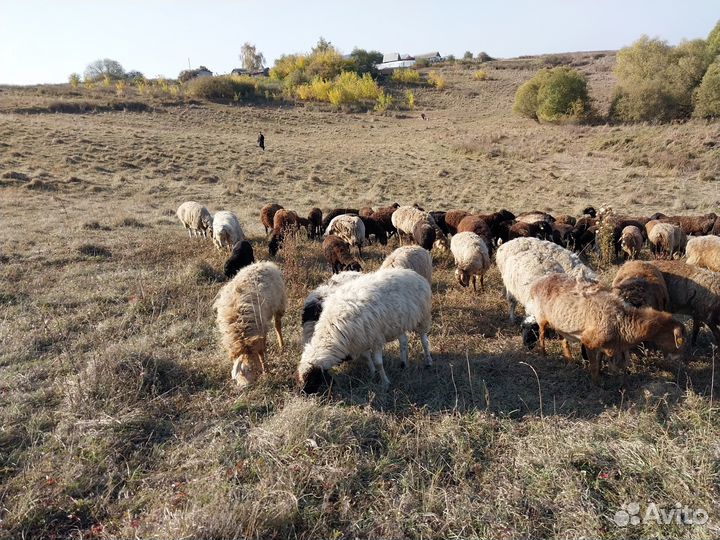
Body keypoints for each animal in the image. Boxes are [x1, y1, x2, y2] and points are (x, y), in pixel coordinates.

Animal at [296, 268, 433, 393]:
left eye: (313, 378)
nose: (305, 392)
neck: (333, 328)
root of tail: (412, 273)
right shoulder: (361, 340)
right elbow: (367, 358)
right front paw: (372, 374)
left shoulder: (375, 338)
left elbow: (378, 363)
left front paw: (385, 383)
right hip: (399, 323)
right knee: (403, 340)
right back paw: (404, 364)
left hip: (423, 316)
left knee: (424, 340)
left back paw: (428, 362)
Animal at [529, 273, 685, 383]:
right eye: (675, 338)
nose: (678, 358)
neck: (621, 321)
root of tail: (539, 280)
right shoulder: (589, 341)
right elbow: (593, 366)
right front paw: (597, 384)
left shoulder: (603, 345)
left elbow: (599, 363)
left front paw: (602, 375)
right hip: (541, 317)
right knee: (541, 334)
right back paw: (543, 354)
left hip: (560, 324)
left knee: (563, 340)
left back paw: (569, 359)